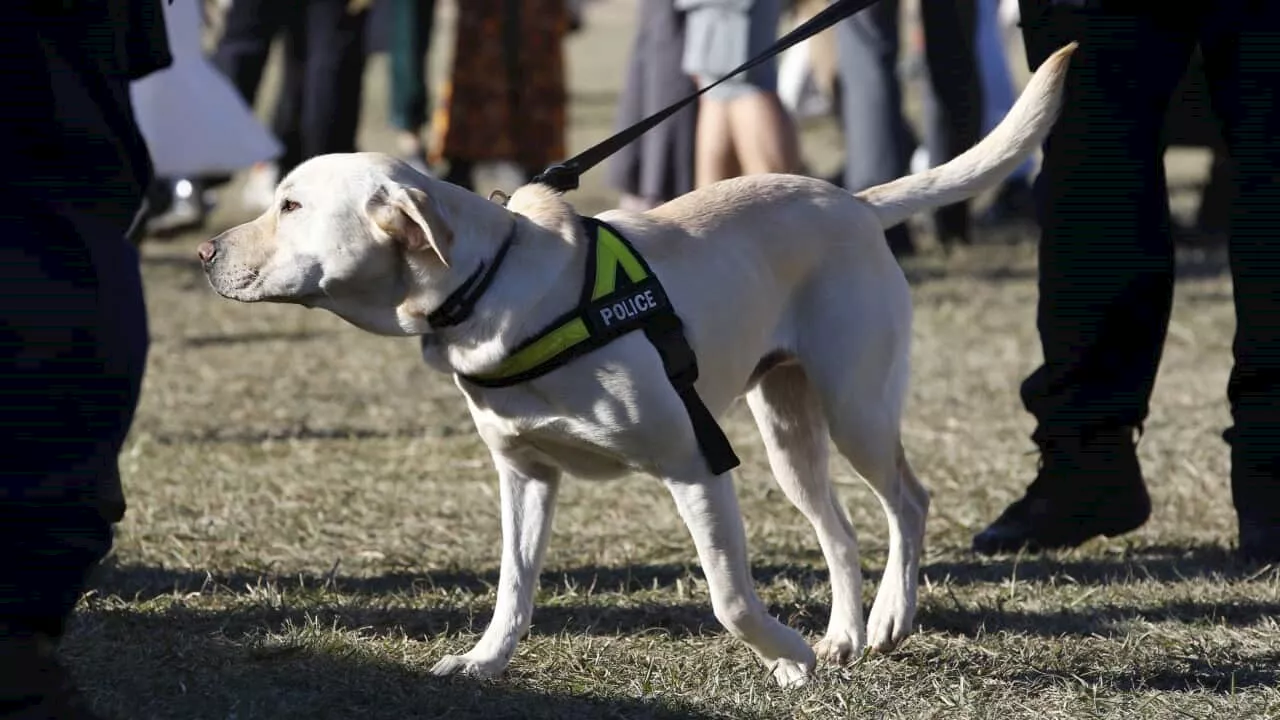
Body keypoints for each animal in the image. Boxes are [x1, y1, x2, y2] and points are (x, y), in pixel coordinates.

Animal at [199, 44, 1075, 681]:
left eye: (291, 206)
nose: (206, 252)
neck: (491, 288)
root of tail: (854, 201)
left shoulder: (696, 461)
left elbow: (729, 598)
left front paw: (785, 659)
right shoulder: (525, 475)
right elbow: (512, 586)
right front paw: (483, 662)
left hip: (853, 406)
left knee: (908, 502)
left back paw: (887, 620)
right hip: (789, 430)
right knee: (842, 531)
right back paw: (842, 638)